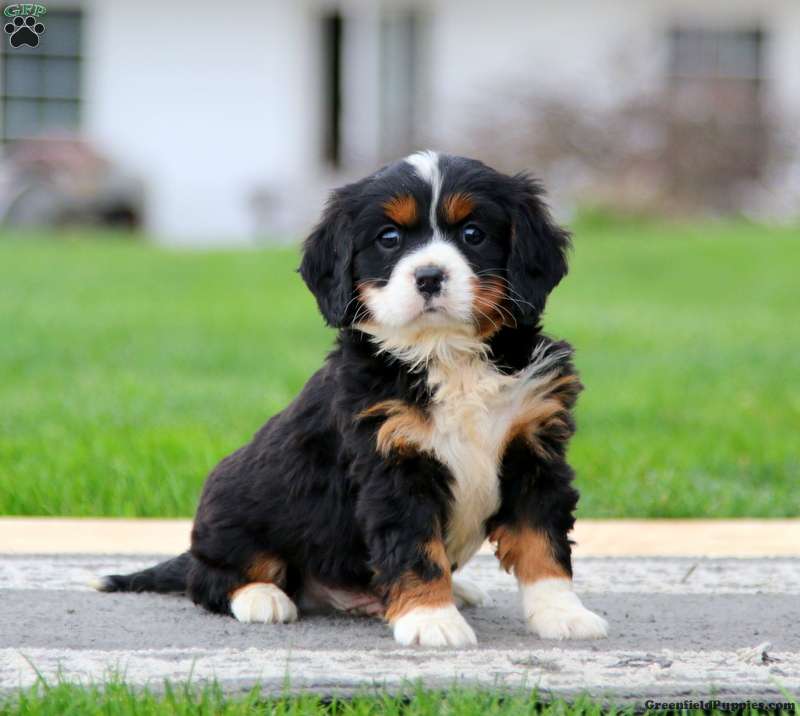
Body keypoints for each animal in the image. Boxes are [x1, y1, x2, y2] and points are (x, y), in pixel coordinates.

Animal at [101, 152, 612, 648]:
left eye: (473, 233)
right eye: (389, 238)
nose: (429, 276)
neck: (446, 355)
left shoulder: (534, 448)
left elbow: (542, 542)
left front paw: (562, 614)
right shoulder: (392, 464)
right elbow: (416, 549)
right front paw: (431, 620)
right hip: (235, 510)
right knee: (209, 579)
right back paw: (262, 598)